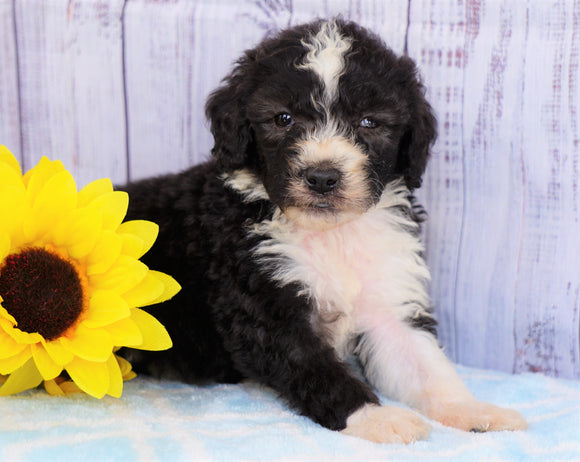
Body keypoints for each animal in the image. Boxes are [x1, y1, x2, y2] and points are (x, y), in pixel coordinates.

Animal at [124, 19, 528, 444]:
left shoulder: (389, 300)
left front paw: (471, 410)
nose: (321, 177)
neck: (332, 232)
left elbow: (426, 365)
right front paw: (377, 418)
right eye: (283, 119)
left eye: (369, 122)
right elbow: (319, 371)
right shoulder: (264, 306)